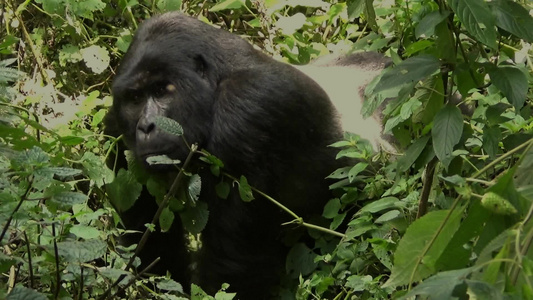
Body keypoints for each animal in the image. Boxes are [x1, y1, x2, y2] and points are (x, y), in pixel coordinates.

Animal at [104, 11, 386, 298]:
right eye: (135, 98)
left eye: (161, 90)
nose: (146, 126)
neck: (218, 80)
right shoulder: (117, 129)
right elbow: (151, 245)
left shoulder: (246, 111)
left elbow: (233, 265)